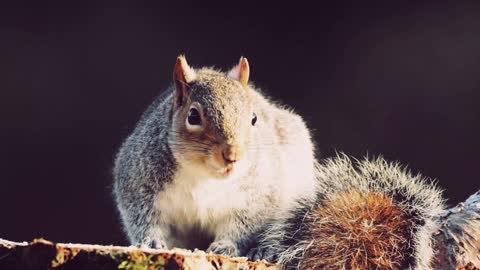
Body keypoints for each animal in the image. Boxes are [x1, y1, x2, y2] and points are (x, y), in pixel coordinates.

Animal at [110, 56, 316, 256]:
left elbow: (244, 226)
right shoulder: (138, 182)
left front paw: (226, 246)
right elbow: (142, 217)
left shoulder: (259, 193)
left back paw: (265, 250)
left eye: (254, 118)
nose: (233, 155)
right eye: (193, 116)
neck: (204, 176)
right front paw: (151, 241)